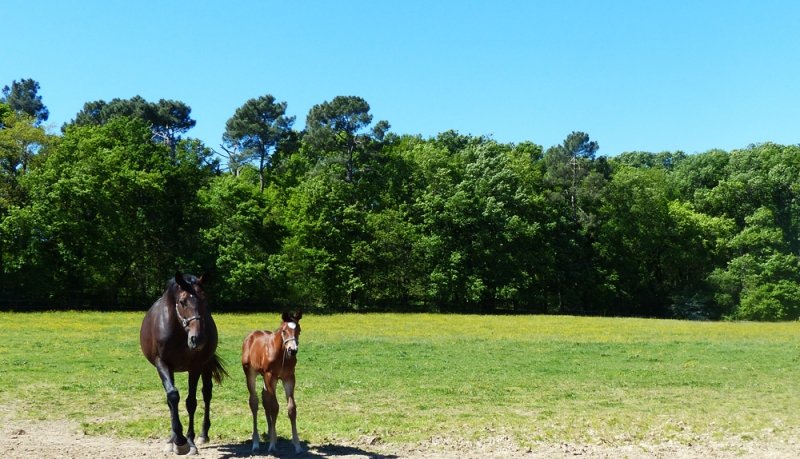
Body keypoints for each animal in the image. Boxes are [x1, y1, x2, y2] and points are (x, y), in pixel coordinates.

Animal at [139, 272, 227, 455]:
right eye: (182, 302)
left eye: (205, 300)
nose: (198, 339)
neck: (178, 332)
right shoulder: (162, 364)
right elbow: (172, 397)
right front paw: (177, 440)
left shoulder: (195, 366)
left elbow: (191, 402)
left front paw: (189, 441)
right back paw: (172, 439)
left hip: (206, 365)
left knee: (207, 394)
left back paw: (203, 435)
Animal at [242, 311, 304, 454]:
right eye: (284, 331)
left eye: (299, 330)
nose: (293, 350)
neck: (281, 354)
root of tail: (250, 336)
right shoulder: (271, 376)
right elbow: (275, 407)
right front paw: (272, 445)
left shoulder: (289, 378)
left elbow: (291, 408)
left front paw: (297, 445)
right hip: (251, 373)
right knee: (254, 402)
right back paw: (256, 443)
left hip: (265, 377)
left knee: (265, 400)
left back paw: (270, 433)